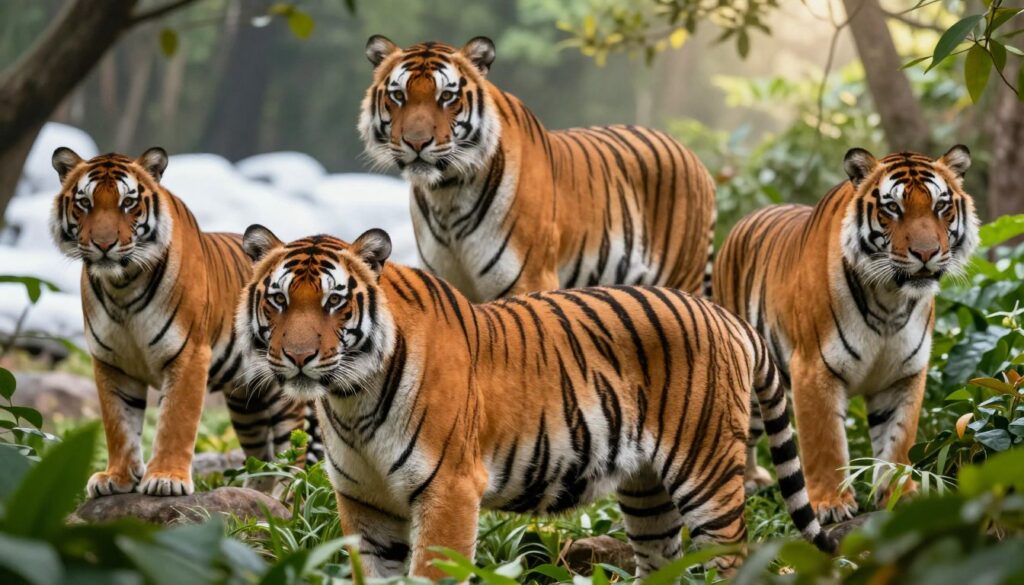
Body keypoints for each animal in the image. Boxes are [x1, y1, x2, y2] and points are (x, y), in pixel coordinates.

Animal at [48, 147, 320, 497]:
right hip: (248, 403)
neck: (121, 286)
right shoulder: (110, 362)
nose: (104, 244)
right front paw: (116, 478)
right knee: (262, 454)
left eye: (128, 202)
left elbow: (176, 421)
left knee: (294, 449)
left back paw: (283, 499)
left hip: (283, 389)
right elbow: (118, 424)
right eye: (84, 202)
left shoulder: (188, 355)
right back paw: (256, 497)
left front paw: (166, 479)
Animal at [237, 225, 835, 579]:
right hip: (648, 493)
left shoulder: (449, 490)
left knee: (731, 558)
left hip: (707, 476)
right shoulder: (368, 505)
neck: (350, 400)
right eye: (278, 300)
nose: (297, 356)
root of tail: (725, 314)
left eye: (335, 302)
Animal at [358, 36, 717, 302]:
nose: (416, 142)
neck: (447, 193)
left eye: (446, 96)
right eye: (398, 95)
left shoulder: (529, 278)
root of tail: (695, 159)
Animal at [712, 146, 979, 523]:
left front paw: (899, 496)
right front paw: (831, 504)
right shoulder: (814, 369)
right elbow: (824, 443)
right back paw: (746, 484)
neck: (890, 300)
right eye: (892, 208)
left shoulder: (904, 375)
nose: (926, 253)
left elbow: (898, 442)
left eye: (940, 206)